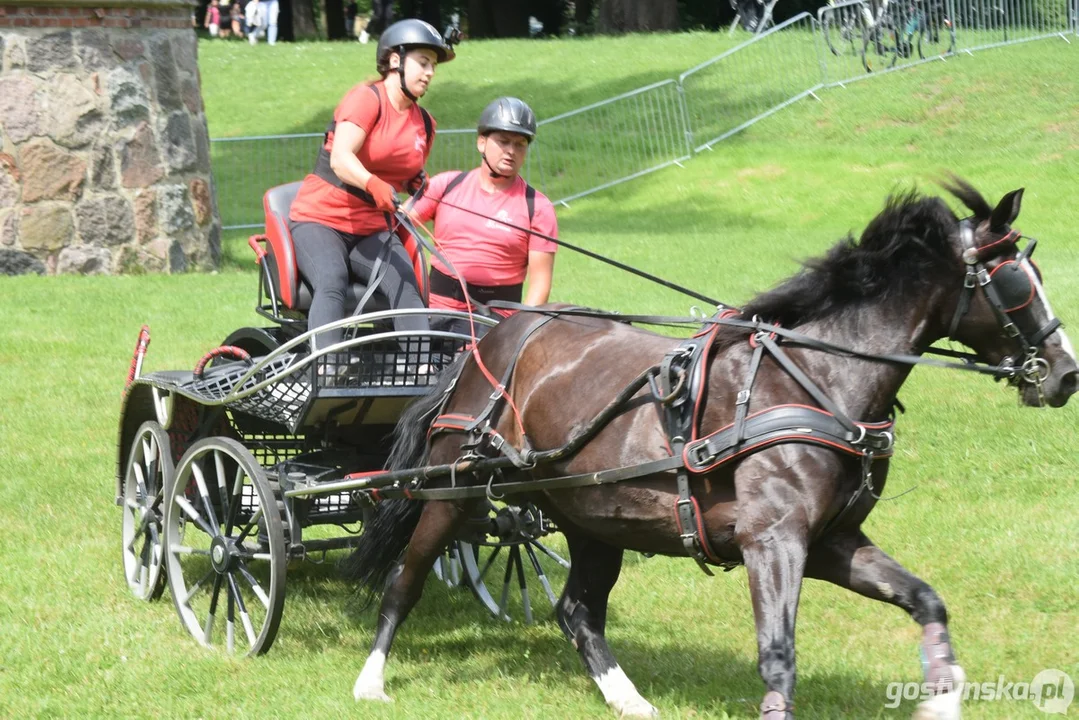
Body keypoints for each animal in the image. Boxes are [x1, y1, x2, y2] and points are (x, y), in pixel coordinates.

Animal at [340, 179, 1074, 716]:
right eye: (1017, 282)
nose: (1065, 373)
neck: (815, 379)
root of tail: (487, 340)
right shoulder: (772, 541)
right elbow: (777, 651)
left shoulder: (831, 542)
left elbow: (926, 600)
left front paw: (941, 697)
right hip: (452, 490)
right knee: (404, 580)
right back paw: (371, 680)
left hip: (593, 516)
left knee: (577, 613)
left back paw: (631, 701)